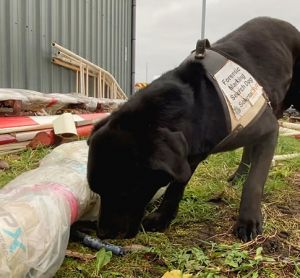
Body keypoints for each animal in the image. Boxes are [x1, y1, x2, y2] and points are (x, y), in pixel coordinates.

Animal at [87, 17, 300, 242]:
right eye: (98, 192)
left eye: (125, 192)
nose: (103, 234)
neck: (201, 102)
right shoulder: (189, 153)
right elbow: (176, 185)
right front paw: (163, 217)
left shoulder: (269, 130)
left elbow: (254, 183)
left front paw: (248, 221)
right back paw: (239, 175)